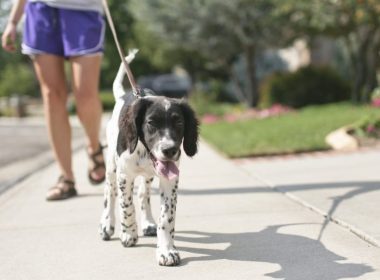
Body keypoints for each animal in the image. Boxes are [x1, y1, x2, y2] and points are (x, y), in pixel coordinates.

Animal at [98, 50, 199, 266]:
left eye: (179, 122)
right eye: (151, 123)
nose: (170, 150)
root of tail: (123, 95)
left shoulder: (170, 180)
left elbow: (167, 217)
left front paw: (166, 250)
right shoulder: (124, 176)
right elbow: (126, 206)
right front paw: (128, 234)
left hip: (148, 175)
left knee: (143, 194)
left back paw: (148, 223)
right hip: (112, 167)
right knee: (109, 193)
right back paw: (107, 225)